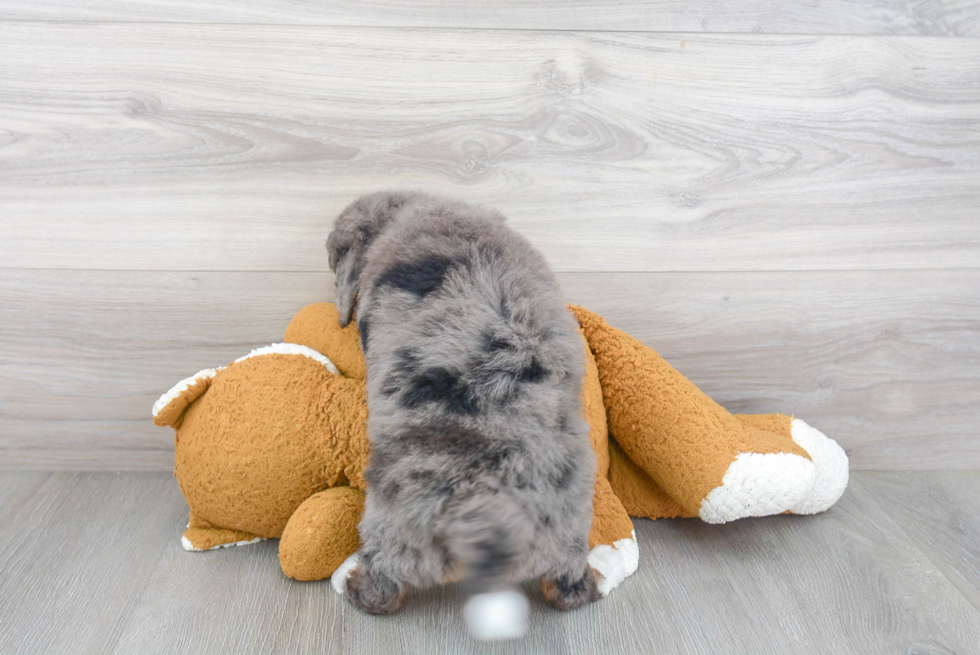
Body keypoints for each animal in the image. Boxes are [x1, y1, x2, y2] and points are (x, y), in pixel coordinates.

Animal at [328, 191, 596, 640]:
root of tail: (490, 519)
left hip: (392, 527)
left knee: (384, 580)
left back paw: (358, 587)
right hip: (567, 530)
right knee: (568, 579)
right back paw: (581, 587)